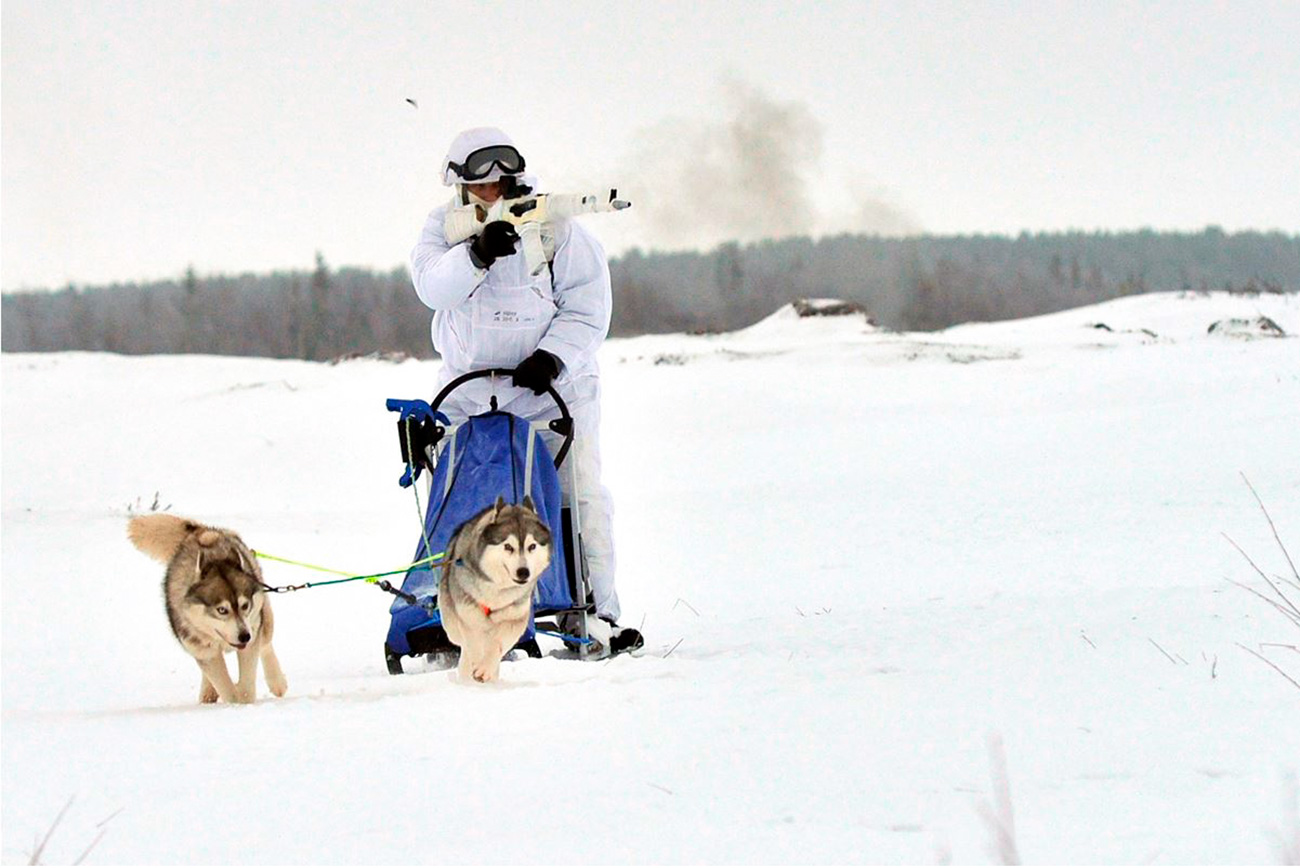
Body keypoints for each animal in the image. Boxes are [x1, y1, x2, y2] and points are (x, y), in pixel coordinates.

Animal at [126, 511, 287, 701]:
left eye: (245, 605)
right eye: (222, 610)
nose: (244, 636)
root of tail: (202, 531)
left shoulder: (251, 636)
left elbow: (246, 684)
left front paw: (244, 698)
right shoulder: (204, 651)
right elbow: (225, 687)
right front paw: (233, 700)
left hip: (263, 619)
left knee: (266, 644)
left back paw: (277, 682)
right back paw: (208, 692)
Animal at [441, 498, 553, 680]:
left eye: (532, 546)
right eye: (508, 546)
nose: (523, 572)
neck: (497, 591)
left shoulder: (514, 619)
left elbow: (498, 645)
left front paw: (485, 668)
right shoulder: (469, 617)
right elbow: (474, 645)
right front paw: (476, 665)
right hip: (452, 625)